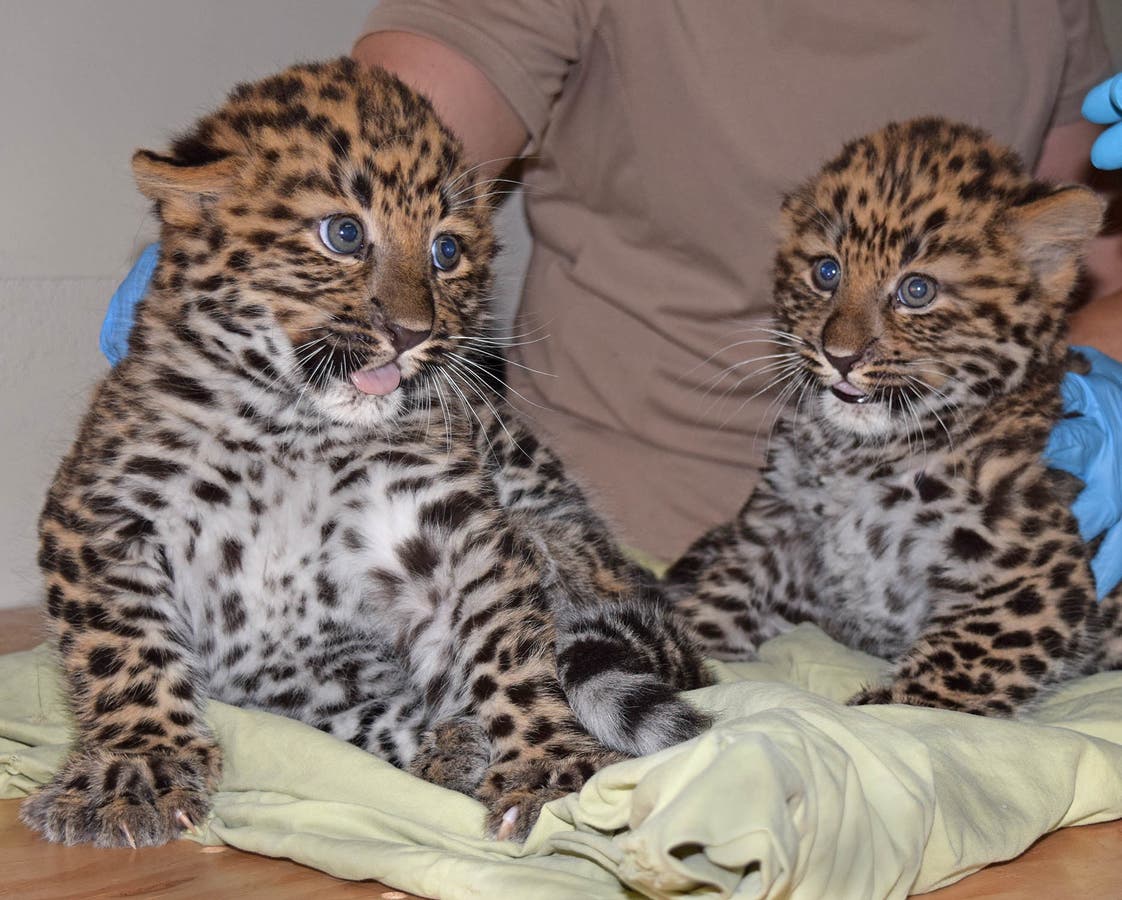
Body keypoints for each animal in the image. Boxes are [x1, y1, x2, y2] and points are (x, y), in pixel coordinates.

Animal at [20, 58, 710, 848]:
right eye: (344, 234)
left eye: (447, 251)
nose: (412, 333)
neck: (291, 433)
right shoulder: (102, 516)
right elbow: (124, 649)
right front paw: (133, 770)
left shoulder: (450, 533)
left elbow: (505, 642)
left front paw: (548, 760)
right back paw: (448, 746)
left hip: (561, 540)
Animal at [666, 117, 1122, 716]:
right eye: (826, 272)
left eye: (917, 290)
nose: (840, 355)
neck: (861, 456)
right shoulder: (778, 530)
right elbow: (723, 597)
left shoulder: (1031, 579)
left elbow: (930, 693)